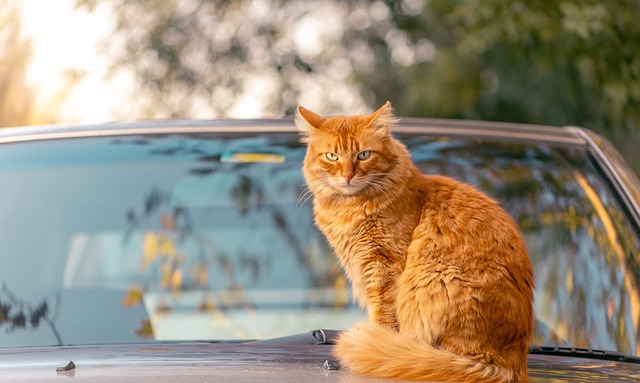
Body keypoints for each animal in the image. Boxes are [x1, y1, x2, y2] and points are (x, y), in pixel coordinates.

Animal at [296, 103, 536, 383]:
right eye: (332, 157)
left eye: (364, 155)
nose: (347, 176)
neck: (350, 208)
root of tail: (512, 366)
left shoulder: (383, 265)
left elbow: (383, 316)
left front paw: (378, 340)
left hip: (436, 279)